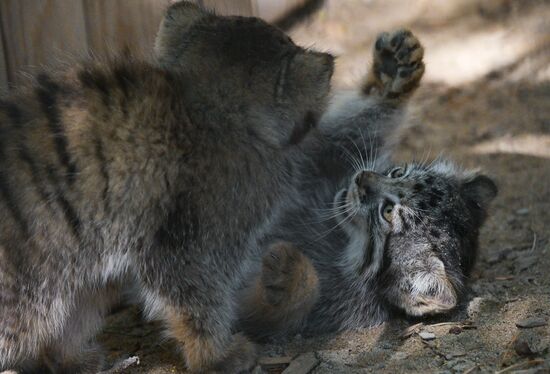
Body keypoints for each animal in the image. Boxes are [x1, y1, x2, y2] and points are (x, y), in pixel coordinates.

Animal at [239, 30, 498, 338]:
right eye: (397, 172)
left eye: (387, 212)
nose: (360, 178)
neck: (343, 244)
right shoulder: (319, 171)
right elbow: (348, 131)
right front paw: (394, 74)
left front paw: (293, 276)